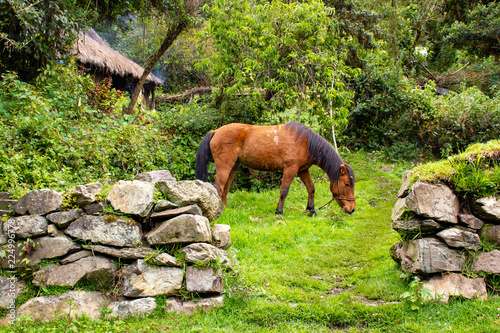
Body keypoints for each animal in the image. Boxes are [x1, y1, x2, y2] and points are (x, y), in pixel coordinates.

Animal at [195, 122, 356, 215]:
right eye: (347, 184)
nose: (352, 209)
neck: (305, 142)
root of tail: (215, 131)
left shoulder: (302, 170)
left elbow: (311, 188)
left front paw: (311, 210)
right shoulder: (290, 169)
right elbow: (284, 191)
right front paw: (279, 211)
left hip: (233, 166)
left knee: (225, 188)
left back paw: (226, 208)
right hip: (225, 166)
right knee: (218, 187)